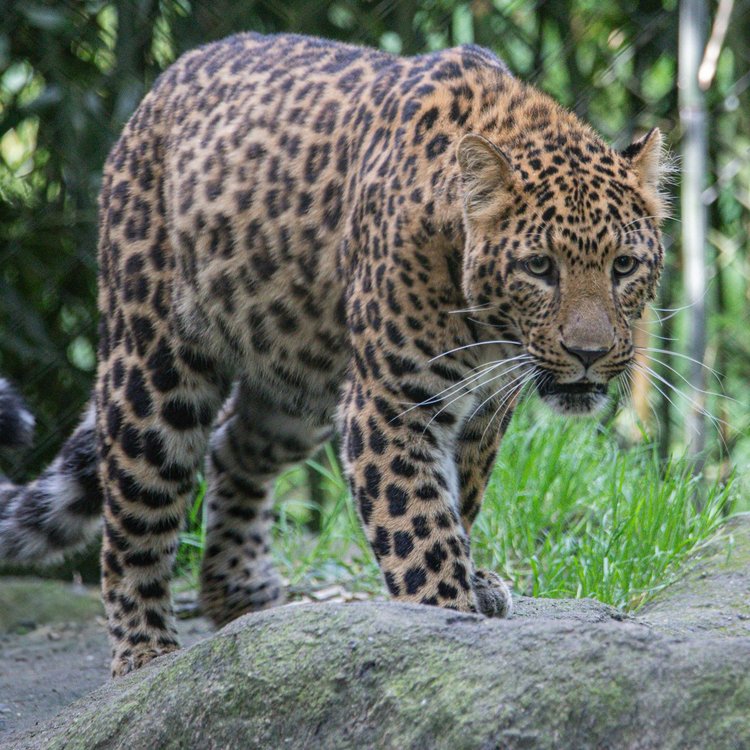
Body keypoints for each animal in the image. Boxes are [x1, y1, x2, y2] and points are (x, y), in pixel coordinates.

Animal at [0, 32, 667, 677]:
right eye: (539, 267)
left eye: (623, 266)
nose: (589, 353)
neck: (487, 329)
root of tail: (155, 92)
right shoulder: (391, 404)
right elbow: (419, 525)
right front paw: (446, 621)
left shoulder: (483, 411)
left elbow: (463, 501)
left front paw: (473, 583)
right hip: (154, 362)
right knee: (135, 504)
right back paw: (144, 651)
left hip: (300, 381)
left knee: (233, 446)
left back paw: (239, 594)